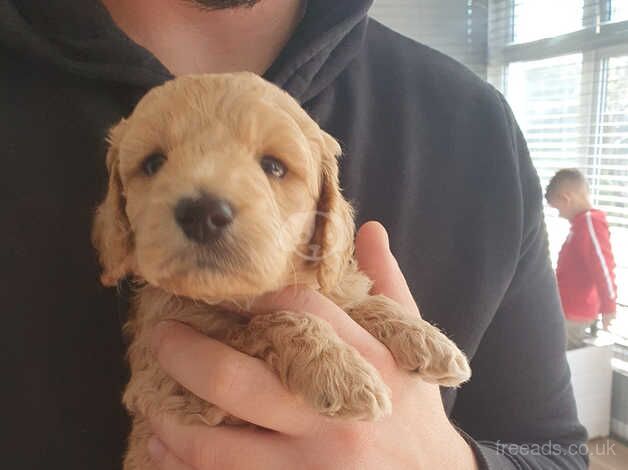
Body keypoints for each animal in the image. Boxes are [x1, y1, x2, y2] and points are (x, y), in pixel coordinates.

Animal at [91, 71, 468, 468]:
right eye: (153, 164)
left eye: (273, 166)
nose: (203, 214)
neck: (231, 296)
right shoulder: (168, 383)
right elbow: (271, 320)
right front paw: (340, 372)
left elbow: (354, 299)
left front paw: (426, 338)